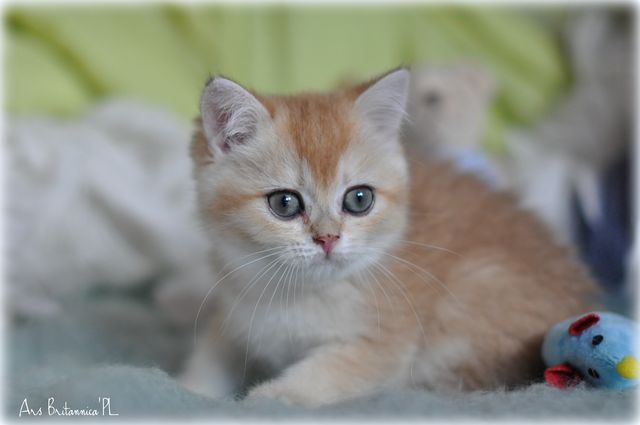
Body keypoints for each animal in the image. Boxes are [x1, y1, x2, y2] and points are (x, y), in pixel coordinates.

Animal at [179, 67, 598, 407]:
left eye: (359, 199)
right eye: (284, 203)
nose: (328, 238)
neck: (297, 295)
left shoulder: (384, 345)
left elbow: (326, 375)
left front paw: (270, 397)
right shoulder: (234, 310)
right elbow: (212, 352)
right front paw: (192, 387)